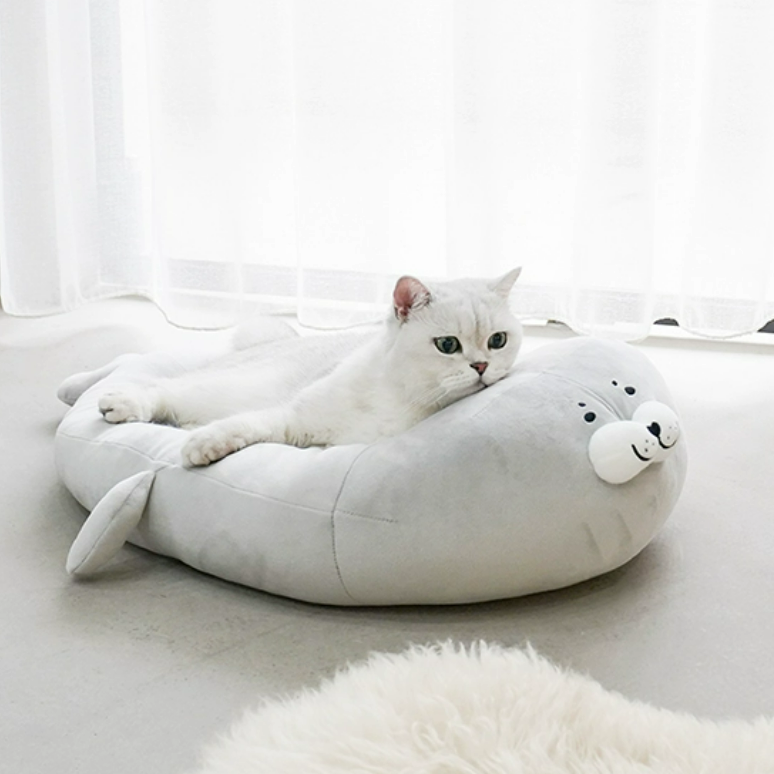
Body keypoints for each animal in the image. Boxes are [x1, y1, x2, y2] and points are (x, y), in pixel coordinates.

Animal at [95, 272, 520, 466]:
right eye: (448, 345)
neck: (402, 398)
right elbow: (246, 424)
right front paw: (204, 445)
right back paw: (120, 403)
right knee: (164, 391)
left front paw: (202, 442)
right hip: (222, 386)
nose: (481, 365)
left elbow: (248, 428)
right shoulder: (292, 418)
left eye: (498, 340)